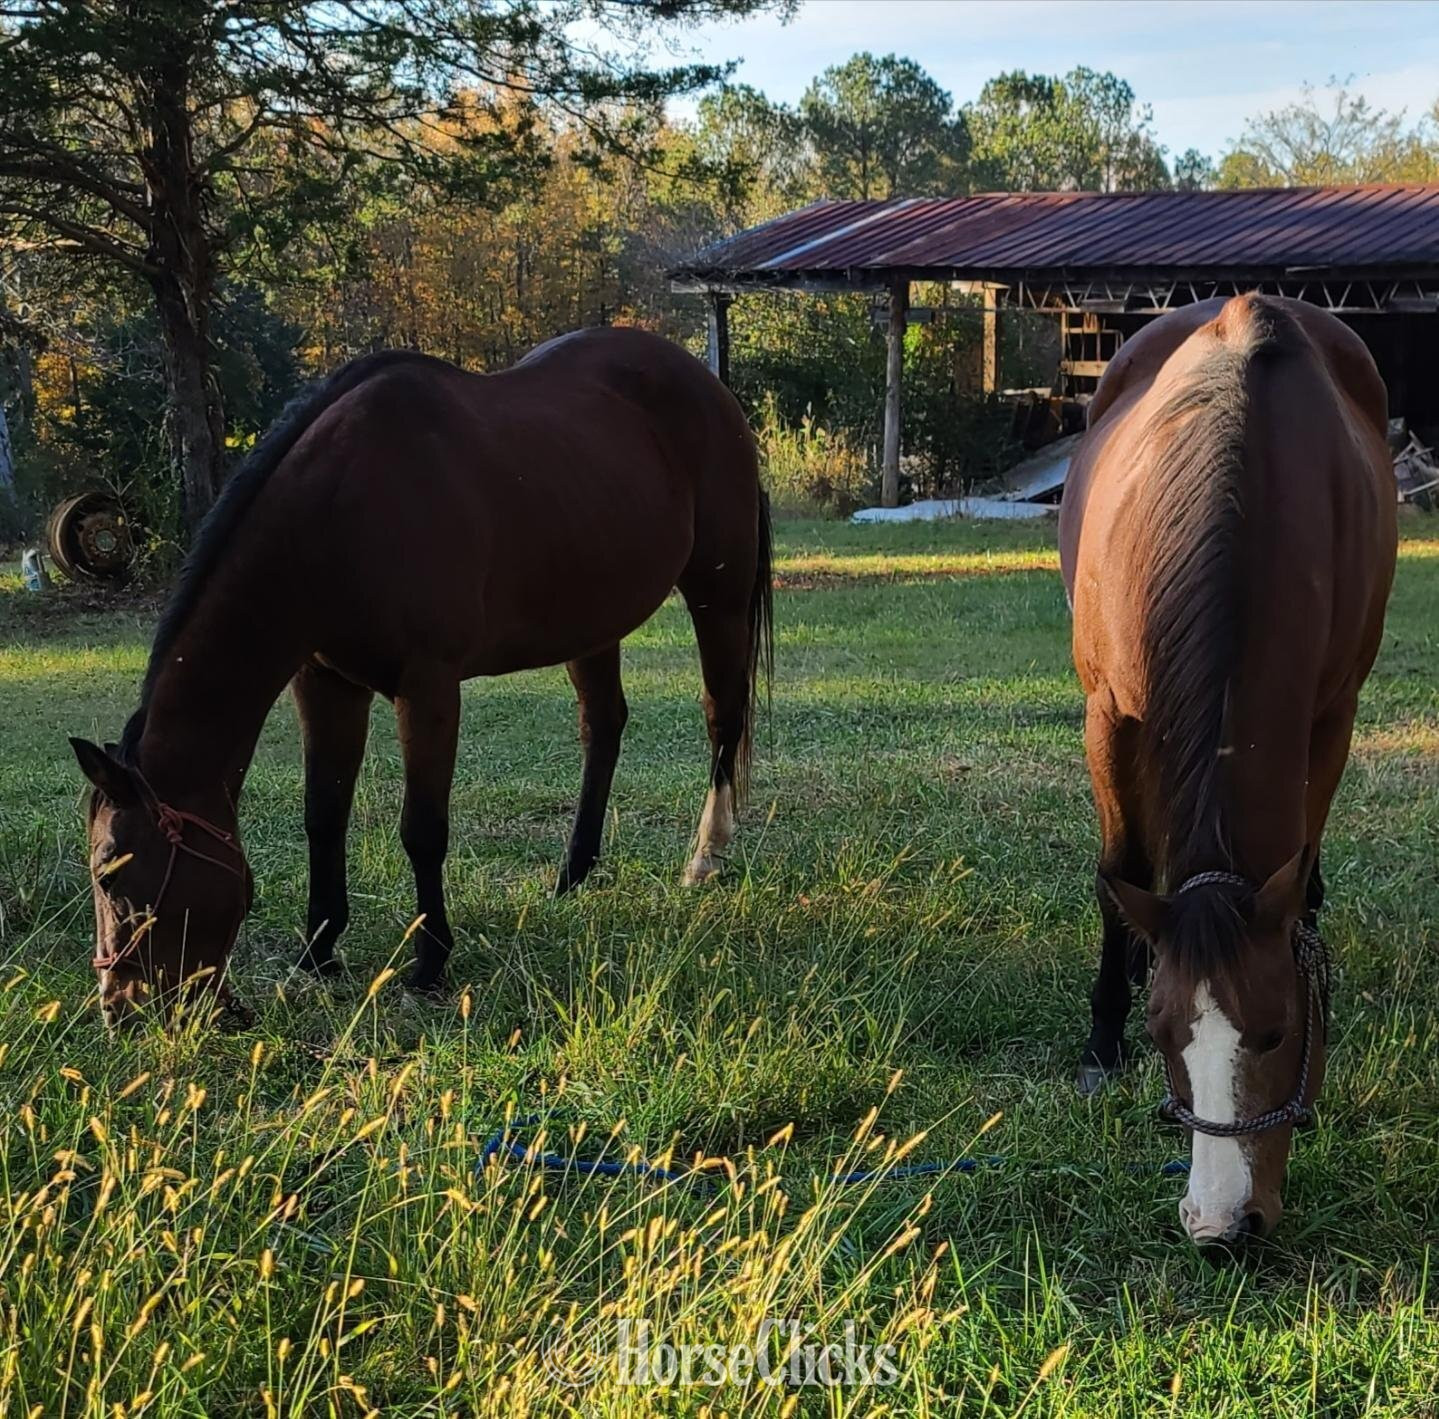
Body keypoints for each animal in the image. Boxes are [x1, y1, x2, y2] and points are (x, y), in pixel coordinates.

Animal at [70, 327, 773, 1027]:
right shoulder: (325, 684)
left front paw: (430, 960)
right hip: (593, 620)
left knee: (722, 715)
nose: (119, 1006)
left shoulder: (428, 688)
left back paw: (705, 857)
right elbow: (323, 814)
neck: (338, 512)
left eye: (110, 874)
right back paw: (572, 873)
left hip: (718, 595)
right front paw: (318, 953)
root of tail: (706, 385)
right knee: (603, 726)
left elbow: (422, 829)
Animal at [1059, 293, 1396, 1245]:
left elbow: (1301, 866)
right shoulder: (1108, 715)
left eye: (1279, 1031)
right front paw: (1101, 1038)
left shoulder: (1329, 715)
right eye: (1164, 1036)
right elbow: (1118, 870)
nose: (1219, 1227)